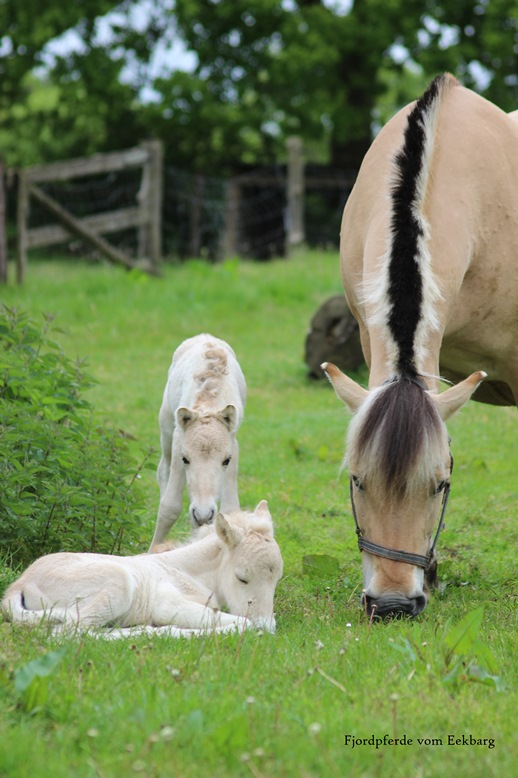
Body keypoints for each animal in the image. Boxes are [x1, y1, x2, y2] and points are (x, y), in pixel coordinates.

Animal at [1, 500, 284, 632]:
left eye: (276, 580)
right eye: (242, 577)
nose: (267, 625)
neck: (188, 572)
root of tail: (19, 584)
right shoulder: (168, 604)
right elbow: (242, 623)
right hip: (119, 585)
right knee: (69, 632)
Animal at [150, 332, 248, 544]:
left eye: (226, 460)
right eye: (185, 459)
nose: (203, 514)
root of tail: (204, 336)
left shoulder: (233, 441)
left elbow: (230, 511)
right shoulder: (179, 439)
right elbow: (170, 507)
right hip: (166, 426)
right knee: (163, 469)